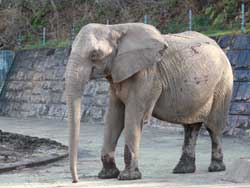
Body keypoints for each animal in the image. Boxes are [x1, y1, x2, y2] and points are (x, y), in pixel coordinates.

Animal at [65, 22, 233, 183]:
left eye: (94, 54)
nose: (75, 180)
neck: (115, 28)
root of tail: (221, 48)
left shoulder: (146, 75)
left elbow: (133, 118)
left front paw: (128, 177)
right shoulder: (117, 75)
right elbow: (114, 117)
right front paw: (106, 175)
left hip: (223, 82)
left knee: (213, 126)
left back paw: (215, 167)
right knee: (190, 127)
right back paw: (183, 169)